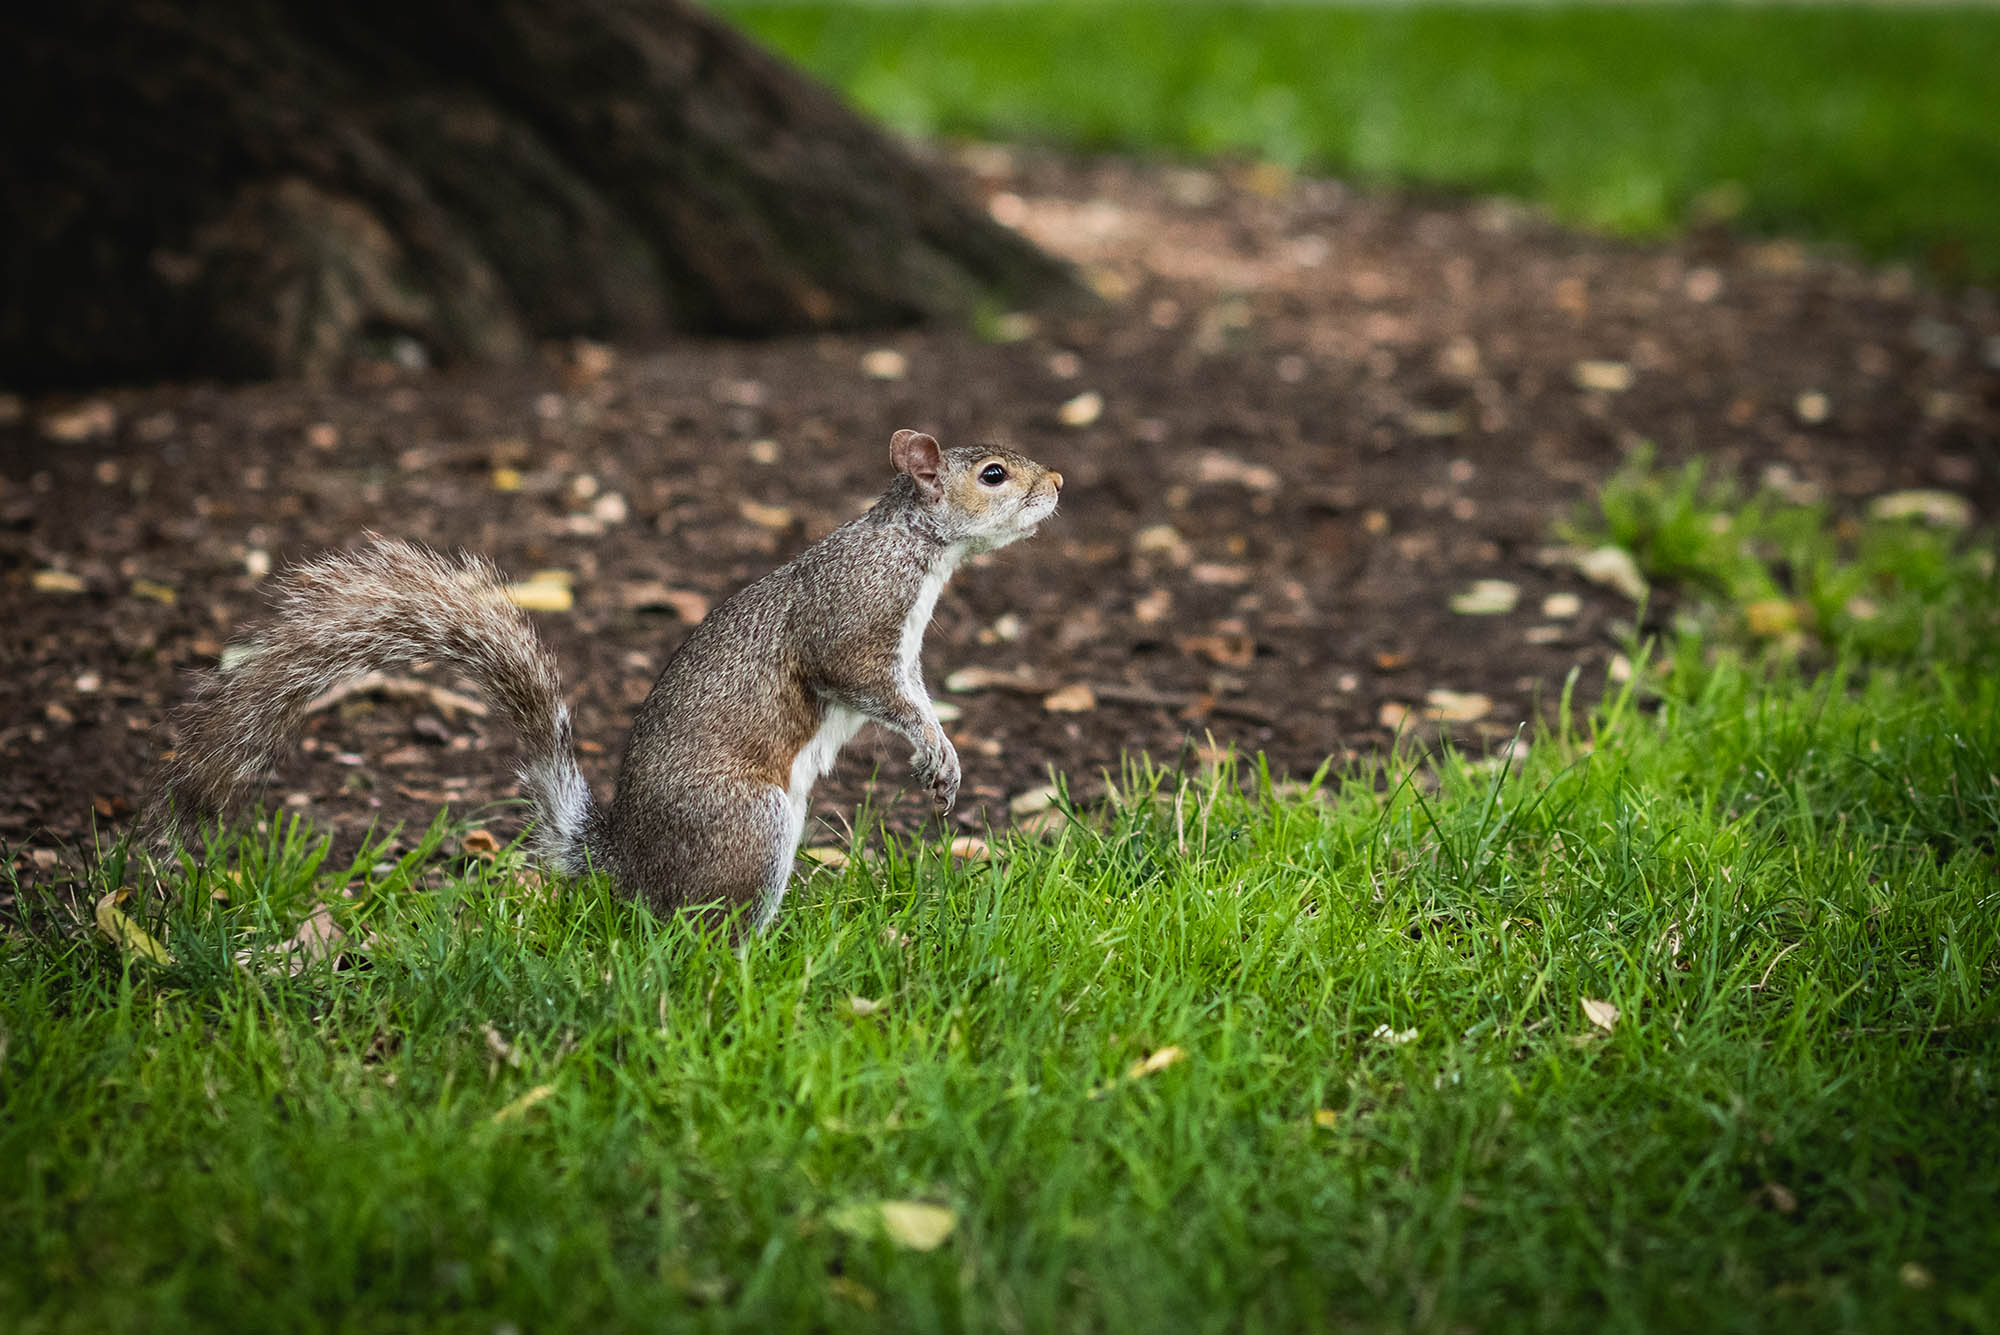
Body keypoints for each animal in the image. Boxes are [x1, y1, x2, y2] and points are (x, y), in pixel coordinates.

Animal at [145, 433, 1064, 935]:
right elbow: (877, 687)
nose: (1058, 483)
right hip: (749, 824)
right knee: (700, 927)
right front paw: (936, 749)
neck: (914, 545)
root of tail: (621, 861)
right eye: (992, 473)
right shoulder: (856, 623)